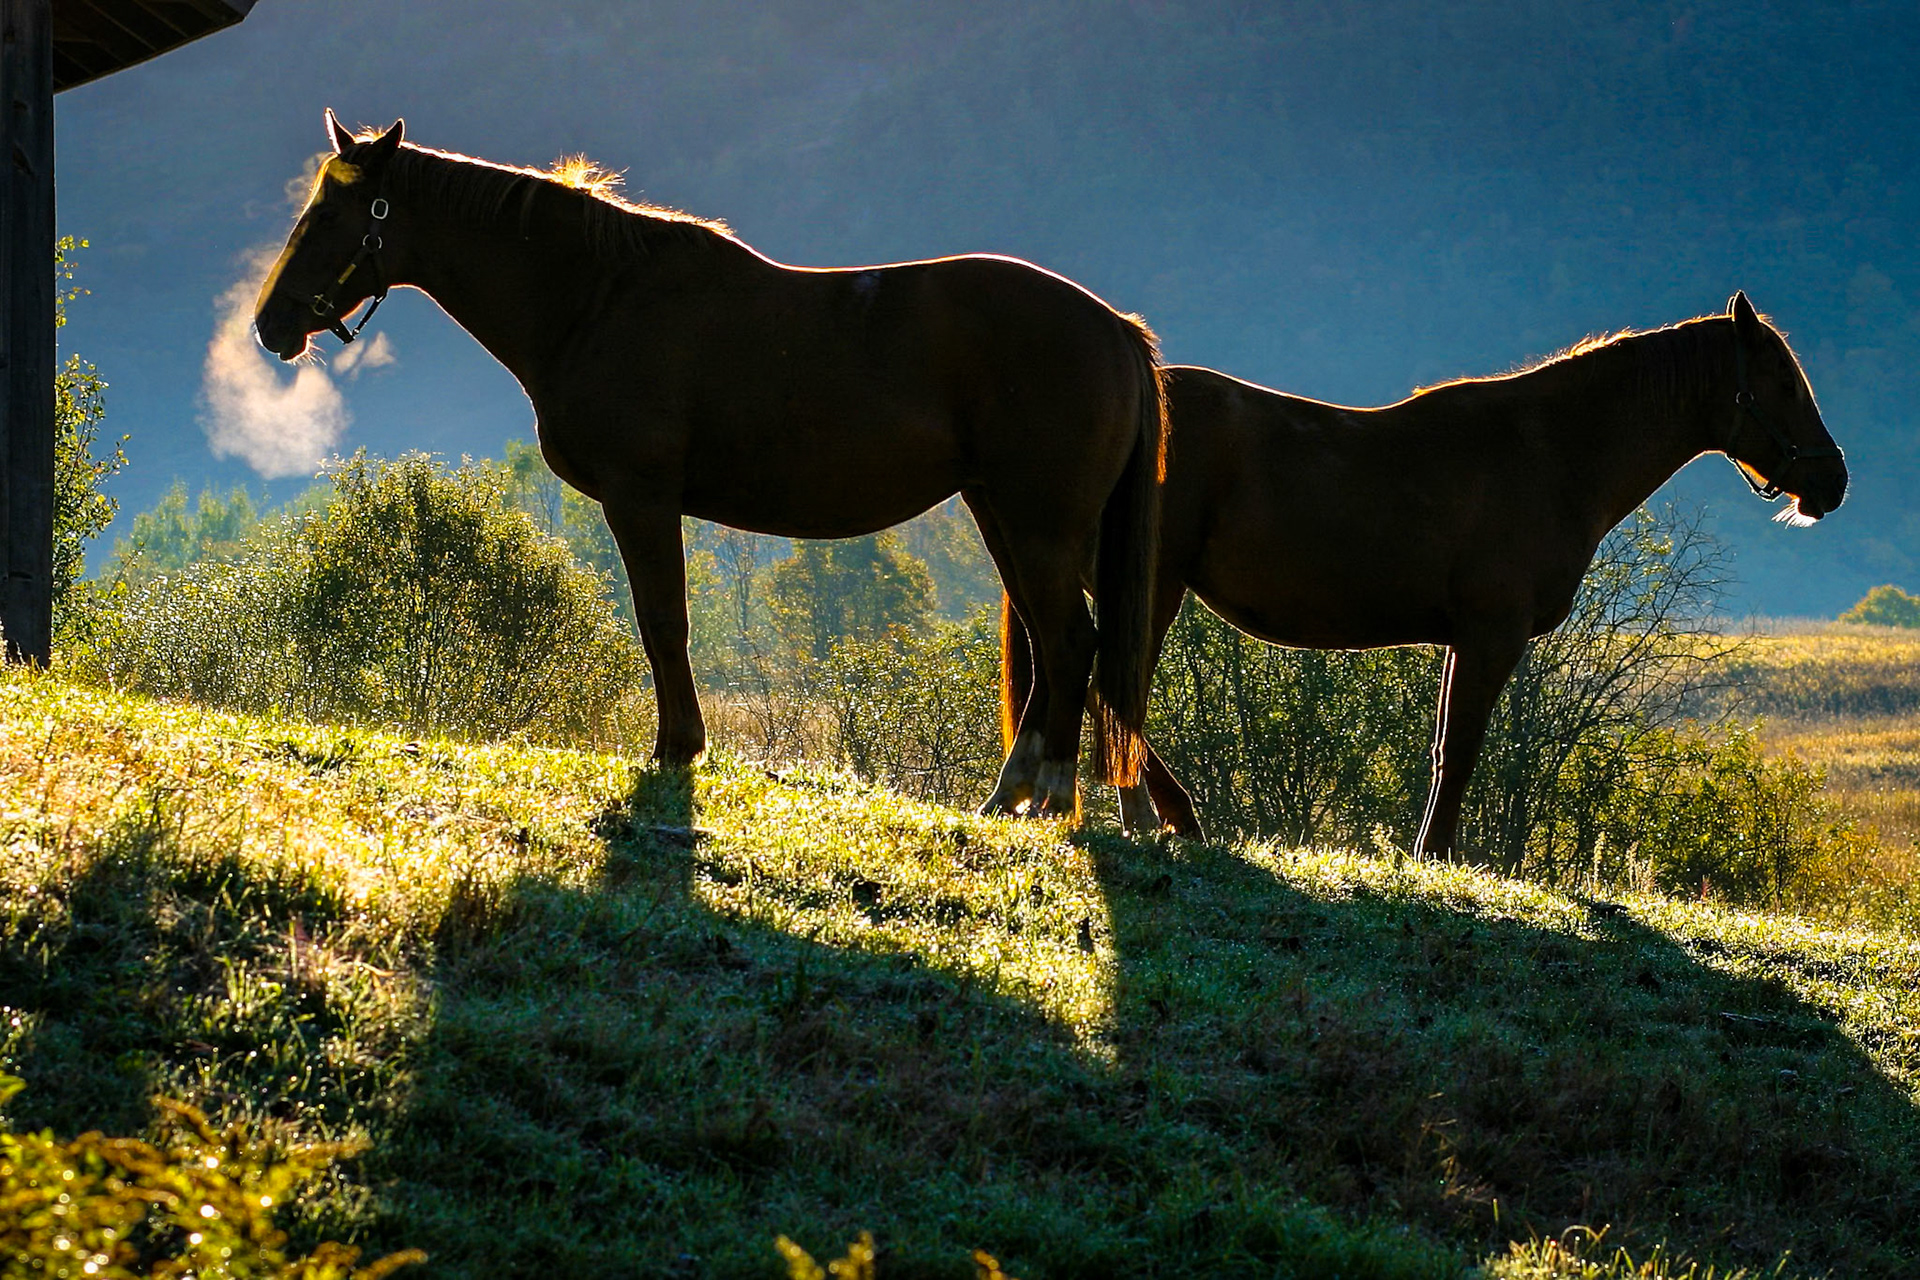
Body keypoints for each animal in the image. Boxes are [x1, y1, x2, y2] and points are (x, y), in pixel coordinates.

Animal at [252, 113, 1166, 817]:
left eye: (333, 214)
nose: (270, 323)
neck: (597, 300)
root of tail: (1115, 328)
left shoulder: (641, 499)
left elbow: (664, 623)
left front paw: (678, 749)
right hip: (1001, 516)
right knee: (1052, 645)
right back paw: (1010, 794)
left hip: (1040, 525)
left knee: (1070, 640)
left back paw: (1052, 795)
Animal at [1002, 294, 1848, 853]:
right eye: (1781, 382)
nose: (1833, 481)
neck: (1551, 453)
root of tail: (1135, 399)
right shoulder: (1491, 635)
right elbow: (1461, 749)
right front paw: (1434, 856)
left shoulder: (1463, 639)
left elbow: (1446, 745)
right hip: (1154, 586)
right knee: (1113, 684)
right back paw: (1160, 815)